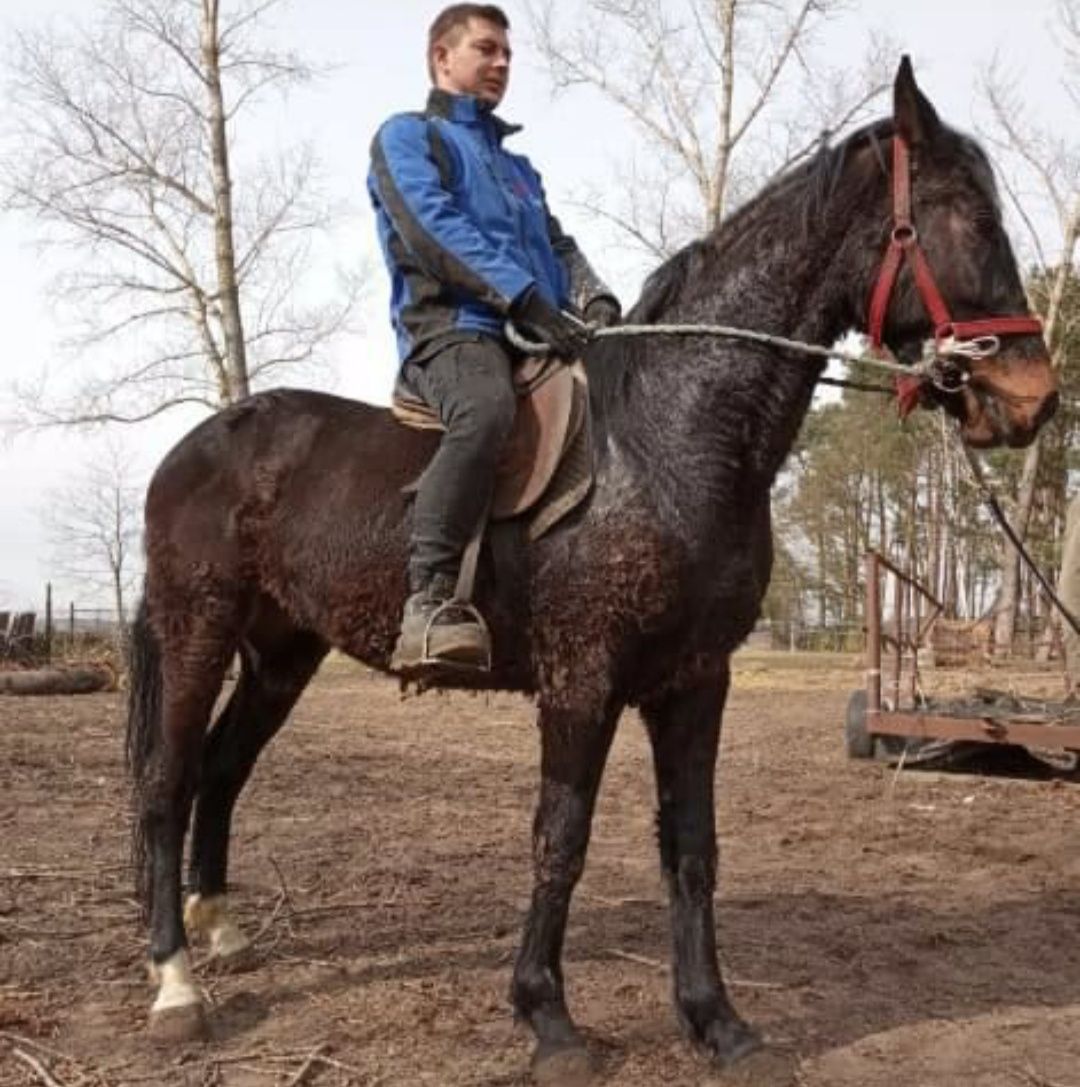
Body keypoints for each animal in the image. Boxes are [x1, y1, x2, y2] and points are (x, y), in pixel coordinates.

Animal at [124, 59, 1051, 1078]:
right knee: (167, 781)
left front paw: (716, 1019)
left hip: (282, 653)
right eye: (968, 218)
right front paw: (549, 1018)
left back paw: (220, 927)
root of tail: (199, 444)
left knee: (222, 769)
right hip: (197, 628)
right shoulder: (583, 679)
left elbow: (692, 846)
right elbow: (559, 838)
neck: (666, 439)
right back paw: (175, 982)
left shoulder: (695, 682)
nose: (1035, 399)